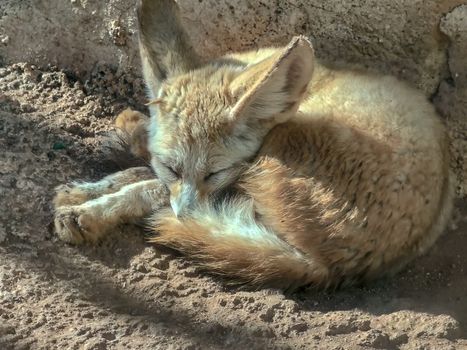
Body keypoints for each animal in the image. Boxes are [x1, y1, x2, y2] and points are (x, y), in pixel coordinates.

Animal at [53, 0, 456, 288]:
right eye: (173, 166)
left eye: (214, 173)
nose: (187, 217)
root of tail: (328, 268)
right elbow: (148, 175)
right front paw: (86, 189)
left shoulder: (232, 176)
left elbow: (148, 187)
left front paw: (93, 209)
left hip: (273, 157)